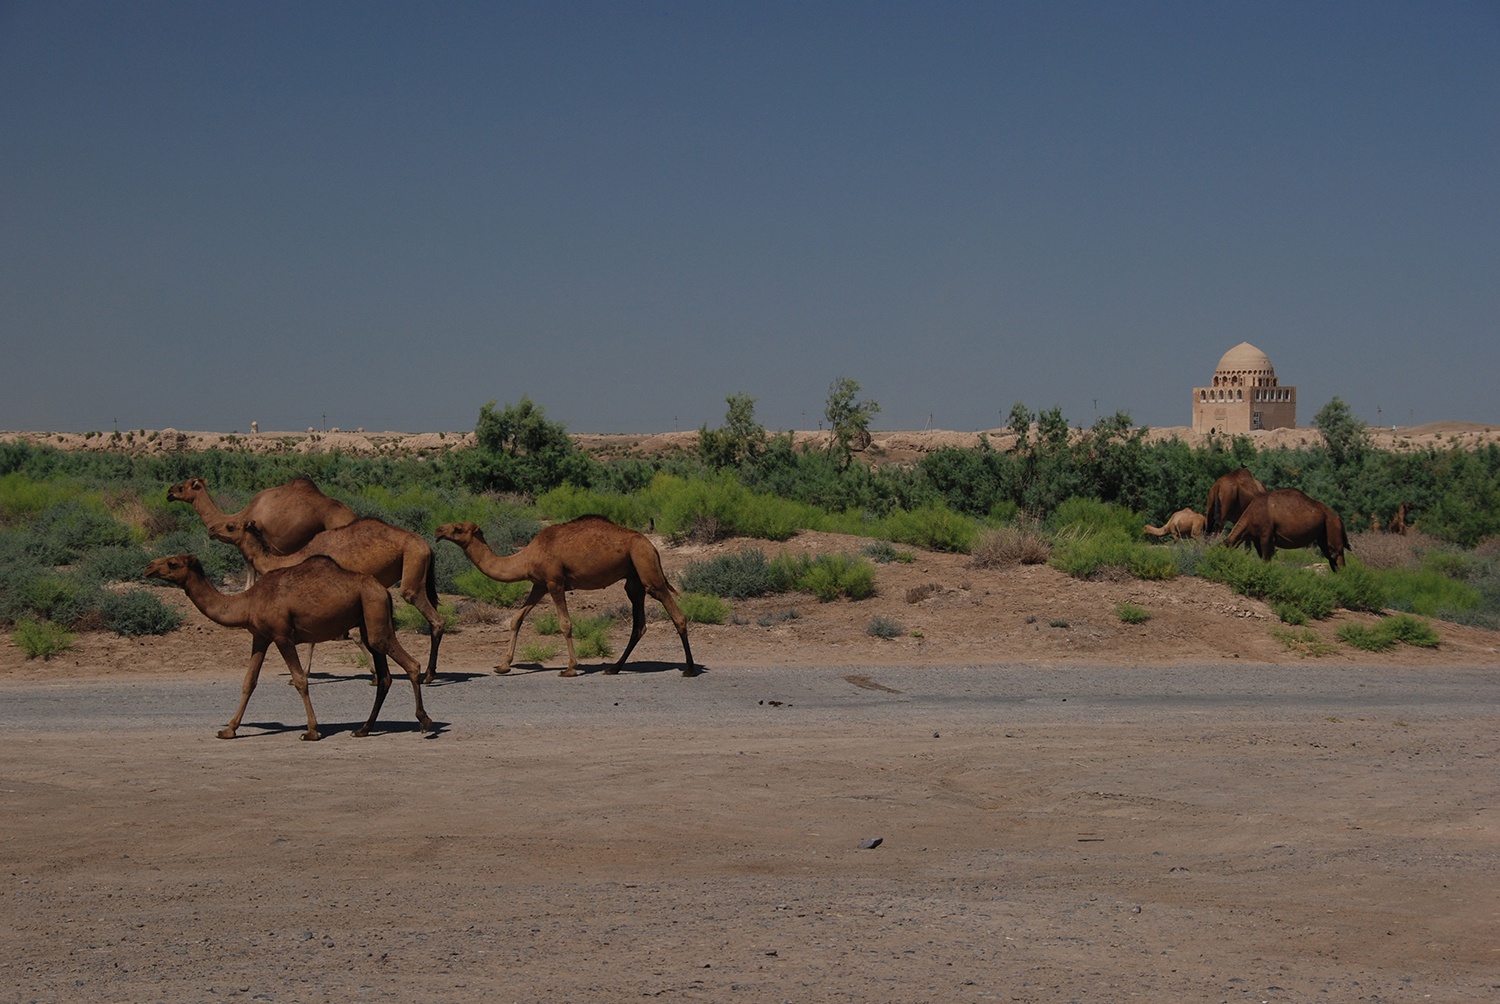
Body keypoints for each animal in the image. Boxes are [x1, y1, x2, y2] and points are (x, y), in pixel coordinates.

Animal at [144, 552, 435, 741]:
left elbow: (299, 679)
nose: (148, 567)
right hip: (368, 618)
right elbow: (249, 681)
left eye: (172, 563)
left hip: (374, 615)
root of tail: (384, 590)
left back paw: (425, 722)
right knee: (384, 676)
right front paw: (229, 729)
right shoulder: (260, 637)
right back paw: (363, 729)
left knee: (410, 664)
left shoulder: (282, 634)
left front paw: (312, 730)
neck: (248, 602)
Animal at [211, 516, 444, 681]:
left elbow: (331, 637)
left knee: (431, 615)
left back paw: (428, 676)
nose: (212, 529)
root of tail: (427, 546)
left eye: (230, 526)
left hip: (412, 564)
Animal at [429, 516, 696, 672]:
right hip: (633, 578)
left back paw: (690, 668)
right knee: (638, 624)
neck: (527, 556)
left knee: (674, 610)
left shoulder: (555, 582)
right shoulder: (539, 585)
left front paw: (570, 667)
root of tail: (651, 545)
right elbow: (517, 619)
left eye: (458, 529)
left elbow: (565, 624)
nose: (438, 530)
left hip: (645, 565)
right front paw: (503, 665)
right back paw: (614, 667)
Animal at [1218, 486, 1350, 570]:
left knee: (1337, 556)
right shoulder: (1256, 538)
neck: (1252, 515)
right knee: (1332, 560)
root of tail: (1339, 519)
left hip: (1332, 528)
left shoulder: (1266, 536)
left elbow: (1266, 559)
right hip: (1323, 536)